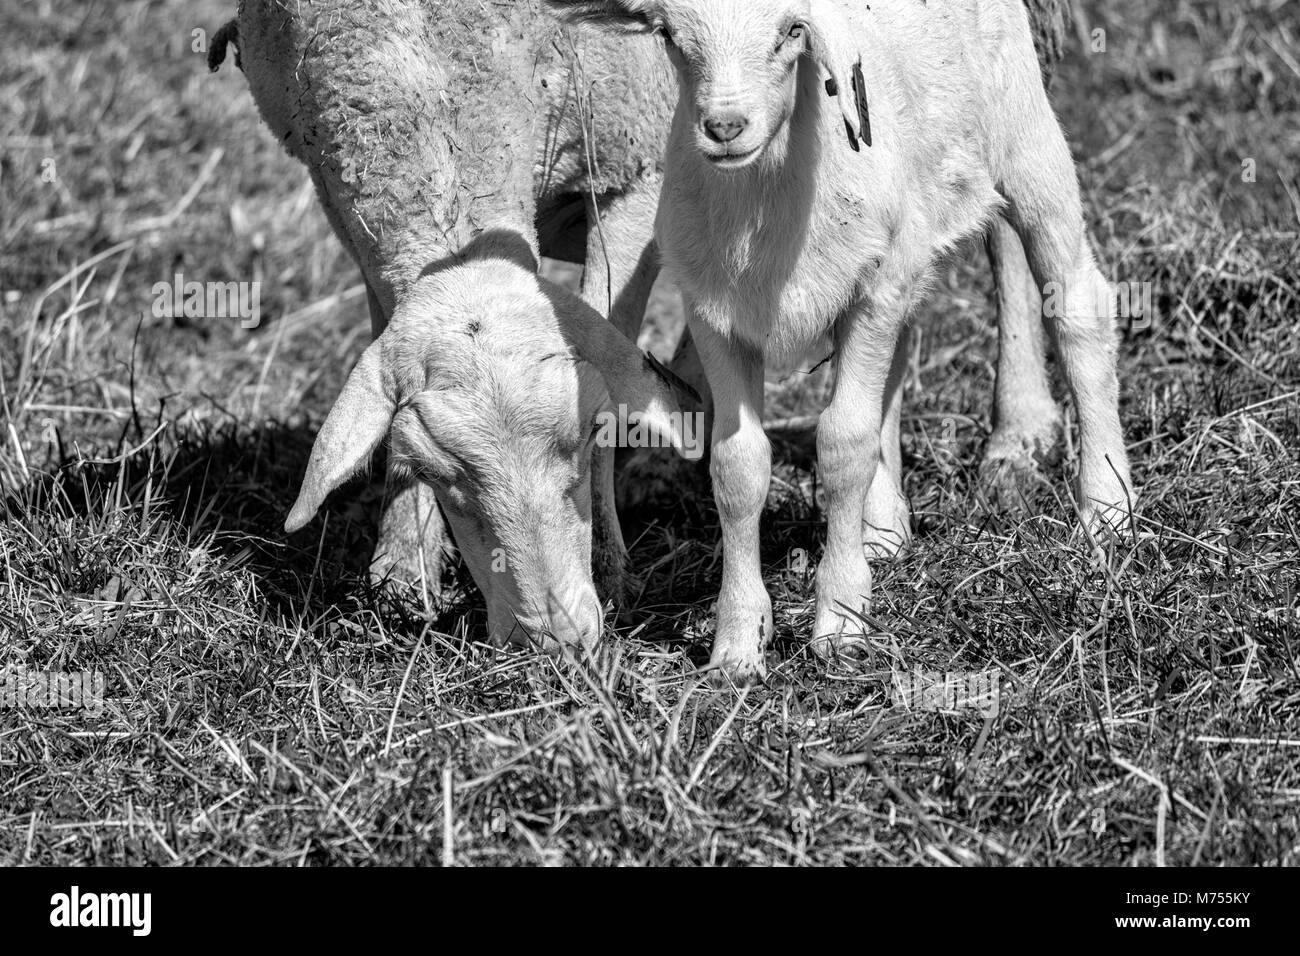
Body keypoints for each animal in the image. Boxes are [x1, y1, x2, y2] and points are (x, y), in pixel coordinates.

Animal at [548, 0, 1138, 681]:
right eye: (669, 34)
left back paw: (1107, 510)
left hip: (1025, 139)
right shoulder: (715, 314)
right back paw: (884, 530)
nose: (724, 126)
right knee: (900, 357)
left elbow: (843, 444)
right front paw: (737, 645)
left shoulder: (871, 291)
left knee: (1080, 310)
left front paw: (841, 621)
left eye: (791, 32)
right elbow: (738, 466)